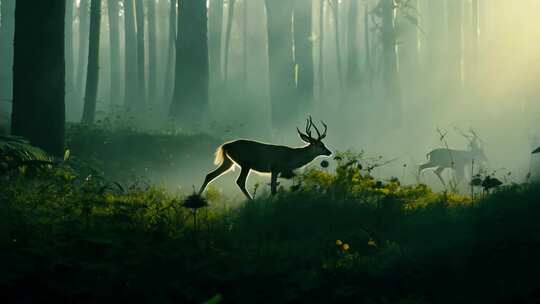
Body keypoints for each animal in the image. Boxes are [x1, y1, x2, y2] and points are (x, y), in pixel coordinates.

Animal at [199, 116, 334, 200]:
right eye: (320, 145)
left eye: (323, 144)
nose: (329, 152)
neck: (291, 157)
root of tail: (225, 145)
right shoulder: (275, 168)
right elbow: (273, 190)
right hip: (245, 163)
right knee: (240, 181)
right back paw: (252, 201)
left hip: (229, 162)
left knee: (209, 175)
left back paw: (197, 197)